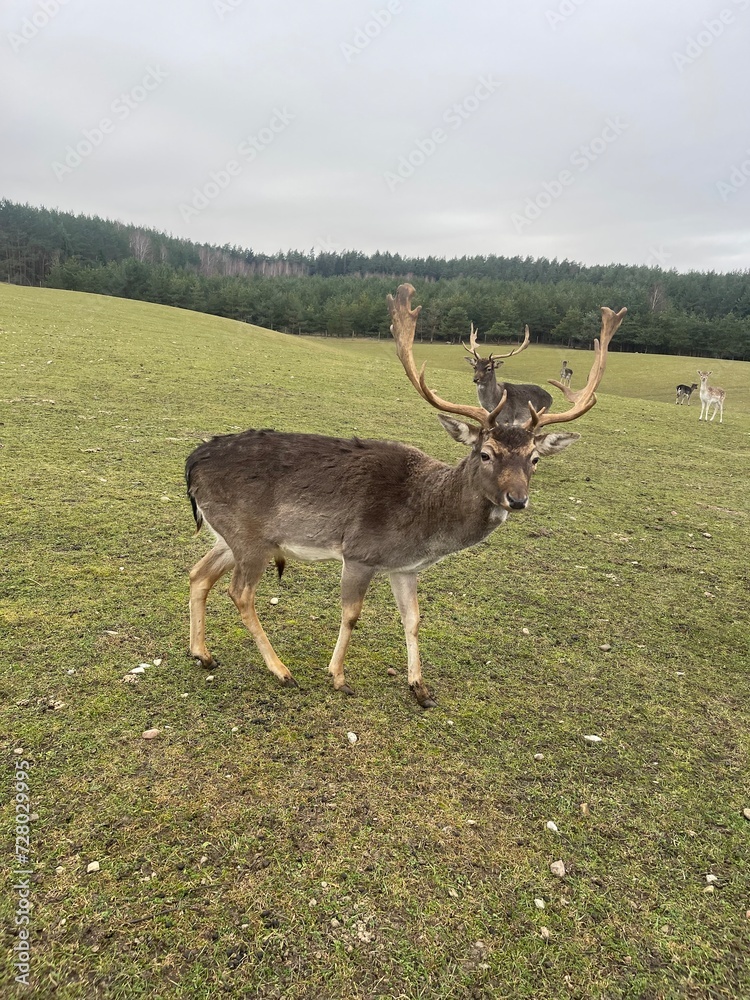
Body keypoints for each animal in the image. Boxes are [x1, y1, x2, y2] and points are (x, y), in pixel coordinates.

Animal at [185, 284, 627, 708]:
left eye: (534, 458)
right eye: (485, 453)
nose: (517, 499)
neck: (423, 522)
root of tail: (191, 462)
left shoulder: (405, 567)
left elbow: (413, 619)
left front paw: (420, 688)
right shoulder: (360, 552)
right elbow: (351, 615)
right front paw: (338, 677)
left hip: (227, 535)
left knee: (198, 573)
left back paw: (202, 654)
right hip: (250, 536)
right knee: (240, 593)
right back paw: (281, 671)